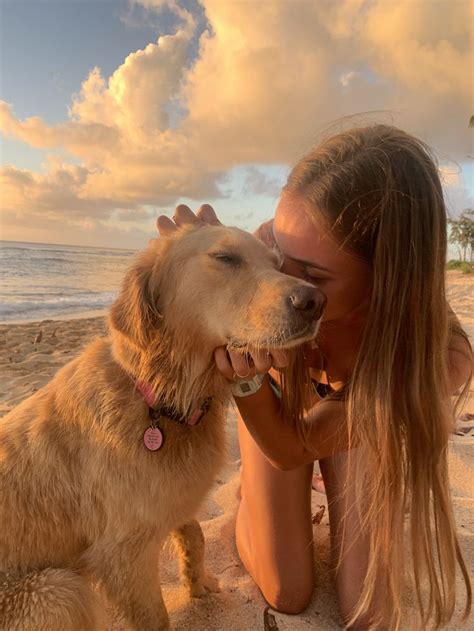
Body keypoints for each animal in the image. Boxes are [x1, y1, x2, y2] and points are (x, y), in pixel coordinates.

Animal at [0, 221, 326, 628]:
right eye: (225, 257)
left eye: (277, 264)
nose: (316, 301)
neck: (159, 399)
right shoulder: (124, 556)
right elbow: (154, 617)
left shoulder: (167, 498)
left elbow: (195, 531)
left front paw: (198, 581)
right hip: (56, 591)